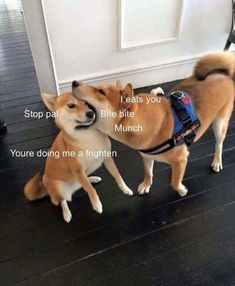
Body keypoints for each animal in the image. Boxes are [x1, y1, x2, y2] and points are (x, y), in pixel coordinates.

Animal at [25, 92, 134, 222]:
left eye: (87, 103)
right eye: (71, 105)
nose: (90, 113)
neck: (86, 135)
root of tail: (45, 188)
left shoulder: (107, 158)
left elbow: (117, 175)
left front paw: (125, 188)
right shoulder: (77, 170)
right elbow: (90, 189)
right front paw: (96, 204)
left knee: (83, 184)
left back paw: (92, 179)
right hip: (59, 188)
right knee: (63, 200)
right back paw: (66, 214)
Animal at [72, 52, 234, 197]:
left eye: (101, 91)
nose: (74, 82)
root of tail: (222, 74)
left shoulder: (179, 158)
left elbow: (174, 183)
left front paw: (182, 190)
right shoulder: (147, 156)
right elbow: (149, 173)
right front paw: (146, 185)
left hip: (220, 124)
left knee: (219, 145)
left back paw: (217, 162)